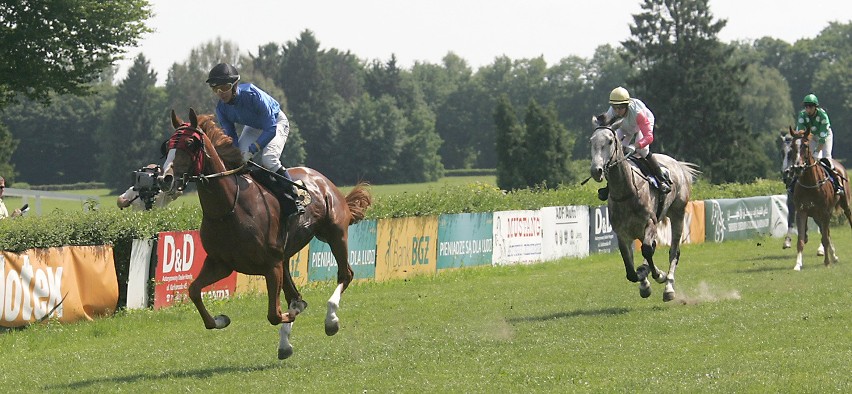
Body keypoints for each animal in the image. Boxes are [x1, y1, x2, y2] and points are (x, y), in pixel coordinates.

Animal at [158, 109, 372, 358]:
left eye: (190, 143)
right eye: (168, 145)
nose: (165, 178)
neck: (229, 208)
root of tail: (324, 181)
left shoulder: (271, 265)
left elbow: (275, 314)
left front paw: (297, 312)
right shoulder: (220, 264)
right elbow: (193, 291)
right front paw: (220, 319)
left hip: (335, 234)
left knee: (345, 274)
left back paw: (331, 320)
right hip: (287, 256)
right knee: (293, 293)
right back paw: (286, 343)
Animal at [588, 121, 704, 300]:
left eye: (609, 141)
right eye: (591, 141)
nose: (596, 170)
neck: (626, 192)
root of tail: (679, 164)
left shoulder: (650, 222)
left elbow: (648, 250)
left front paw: (659, 275)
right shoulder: (622, 233)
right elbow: (631, 271)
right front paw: (644, 281)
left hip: (678, 214)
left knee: (673, 252)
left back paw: (669, 287)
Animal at [784, 127, 852, 270]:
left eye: (805, 145)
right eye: (792, 146)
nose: (798, 167)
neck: (810, 183)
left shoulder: (825, 212)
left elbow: (825, 238)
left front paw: (826, 262)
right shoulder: (802, 211)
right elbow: (801, 240)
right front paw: (798, 264)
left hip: (844, 204)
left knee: (846, 219)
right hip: (816, 215)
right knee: (826, 232)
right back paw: (834, 256)